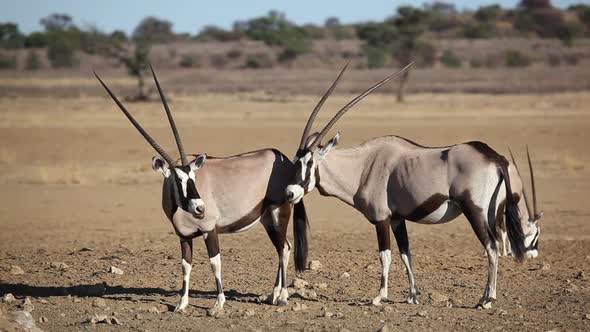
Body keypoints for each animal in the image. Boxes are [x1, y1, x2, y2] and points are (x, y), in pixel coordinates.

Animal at [286, 96, 540, 308]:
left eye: (309, 163)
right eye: (295, 161)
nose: (289, 193)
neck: (363, 166)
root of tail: (496, 158)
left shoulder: (382, 219)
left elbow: (385, 255)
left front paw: (379, 296)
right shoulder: (398, 220)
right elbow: (405, 254)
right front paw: (412, 295)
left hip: (475, 212)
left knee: (492, 247)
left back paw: (487, 299)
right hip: (492, 213)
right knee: (495, 244)